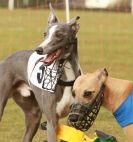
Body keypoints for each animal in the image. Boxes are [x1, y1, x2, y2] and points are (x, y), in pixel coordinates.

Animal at [0, 4, 81, 142]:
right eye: (45, 34)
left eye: (59, 35)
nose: (39, 50)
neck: (64, 72)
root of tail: (5, 59)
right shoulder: (52, 121)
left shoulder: (72, 122)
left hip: (34, 115)